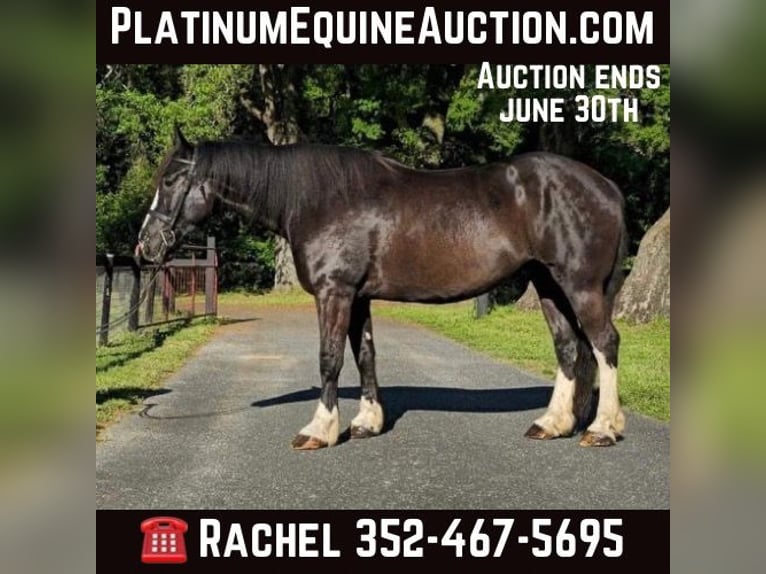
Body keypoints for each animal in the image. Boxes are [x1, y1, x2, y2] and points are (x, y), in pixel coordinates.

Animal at [138, 126, 627, 450]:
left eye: (170, 180)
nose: (145, 246)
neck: (318, 198)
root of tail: (606, 186)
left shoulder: (335, 293)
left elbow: (330, 358)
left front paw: (319, 430)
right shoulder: (358, 297)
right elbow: (365, 355)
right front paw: (367, 423)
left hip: (580, 285)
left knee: (604, 343)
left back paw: (602, 429)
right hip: (548, 284)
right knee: (569, 347)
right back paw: (553, 423)